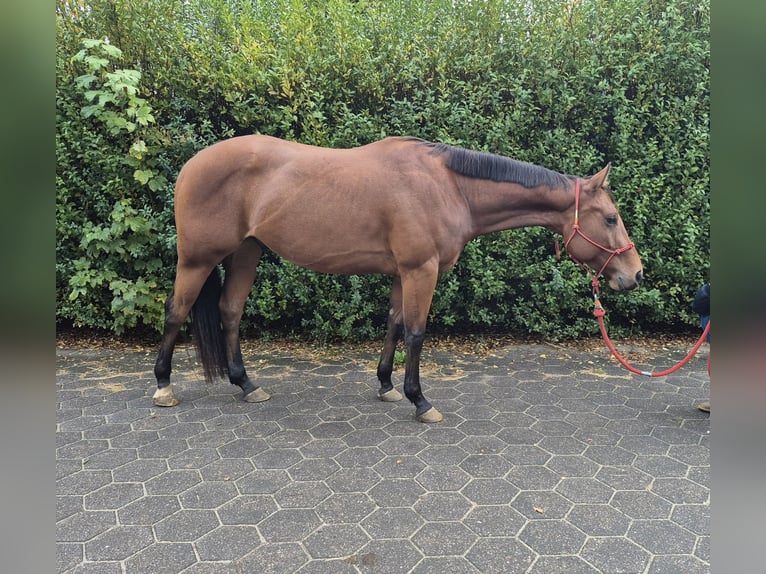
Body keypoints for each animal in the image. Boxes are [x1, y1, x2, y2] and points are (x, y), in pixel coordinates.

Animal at [152, 135, 643, 422]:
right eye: (610, 218)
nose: (634, 274)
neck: (449, 186)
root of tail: (191, 165)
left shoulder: (399, 273)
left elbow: (393, 325)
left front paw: (387, 386)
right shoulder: (420, 270)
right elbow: (416, 332)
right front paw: (419, 400)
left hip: (247, 252)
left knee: (230, 312)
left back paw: (246, 385)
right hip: (197, 259)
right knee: (176, 311)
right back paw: (163, 386)